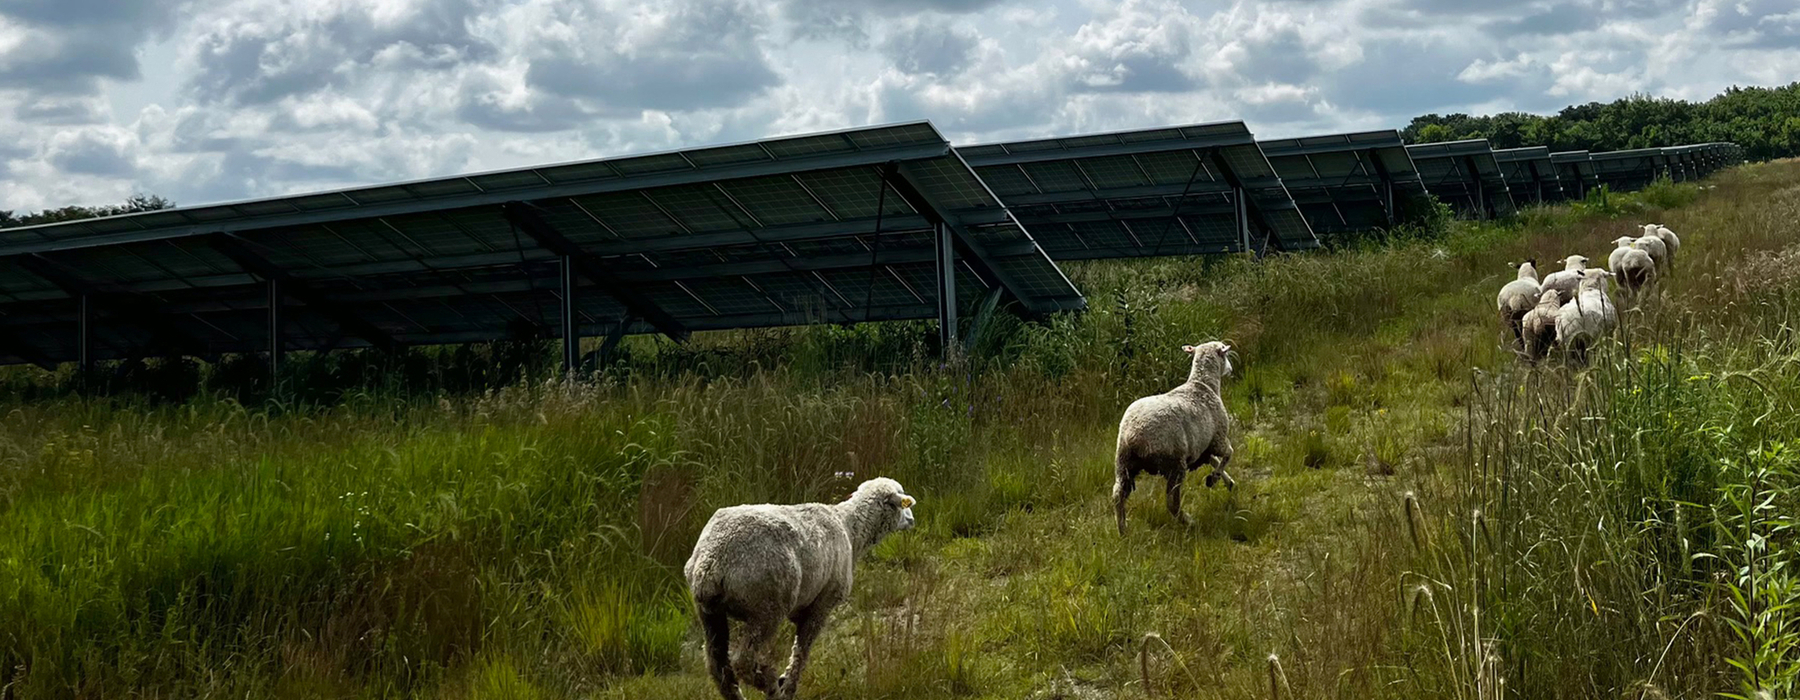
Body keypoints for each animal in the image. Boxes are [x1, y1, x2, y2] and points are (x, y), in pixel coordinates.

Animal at [684, 478, 921, 694]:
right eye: (902, 502)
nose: (912, 519)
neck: (850, 530)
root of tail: (710, 562)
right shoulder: (822, 604)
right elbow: (801, 651)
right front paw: (788, 686)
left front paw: (786, 681)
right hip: (766, 607)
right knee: (743, 661)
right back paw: (770, 685)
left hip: (709, 613)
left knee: (718, 668)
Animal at [1108, 340, 1238, 536]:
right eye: (1225, 354)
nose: (1230, 369)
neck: (1203, 384)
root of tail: (1134, 436)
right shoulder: (1218, 439)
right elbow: (1227, 454)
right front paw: (1214, 478)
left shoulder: (1202, 447)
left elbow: (1214, 460)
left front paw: (1227, 481)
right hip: (1174, 464)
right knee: (1171, 502)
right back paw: (1189, 521)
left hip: (1123, 462)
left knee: (1118, 495)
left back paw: (1122, 530)